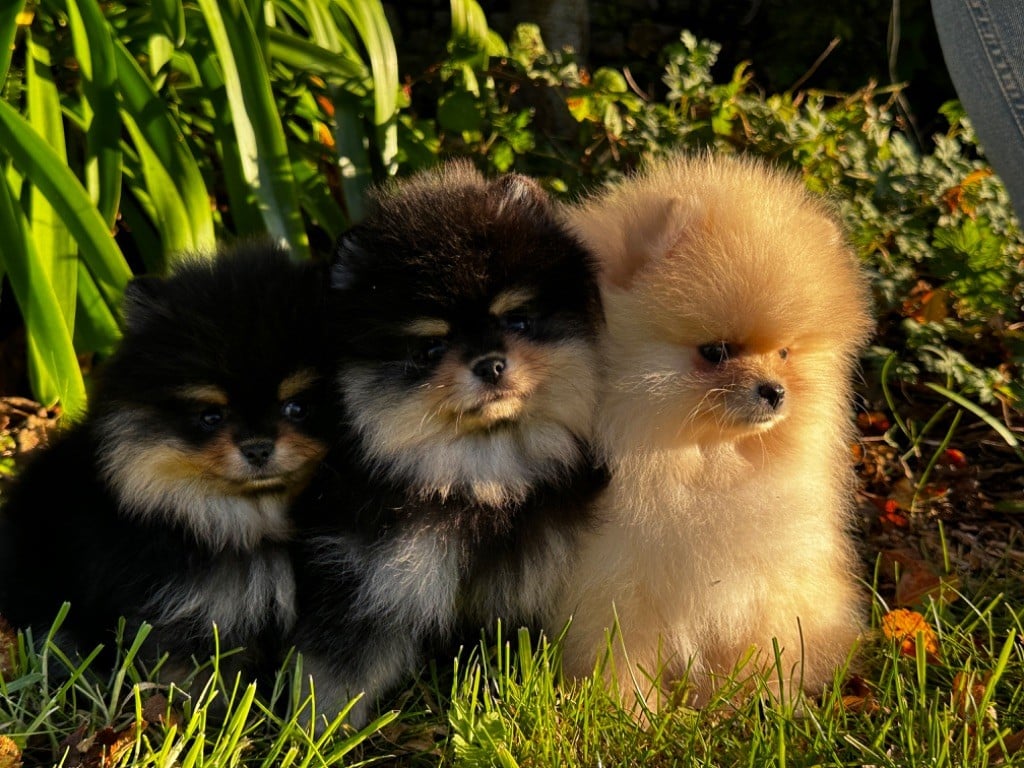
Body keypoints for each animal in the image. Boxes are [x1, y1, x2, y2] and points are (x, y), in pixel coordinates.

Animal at [288, 160, 606, 729]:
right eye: (431, 347)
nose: (490, 364)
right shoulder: (370, 580)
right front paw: (313, 735)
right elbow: (335, 675)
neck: (480, 480)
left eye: (517, 319)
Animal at [548, 153, 876, 720]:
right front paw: (629, 713)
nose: (775, 392)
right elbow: (621, 656)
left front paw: (750, 700)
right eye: (716, 352)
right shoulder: (618, 587)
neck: (703, 461)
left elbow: (754, 650)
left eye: (785, 353)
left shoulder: (759, 588)